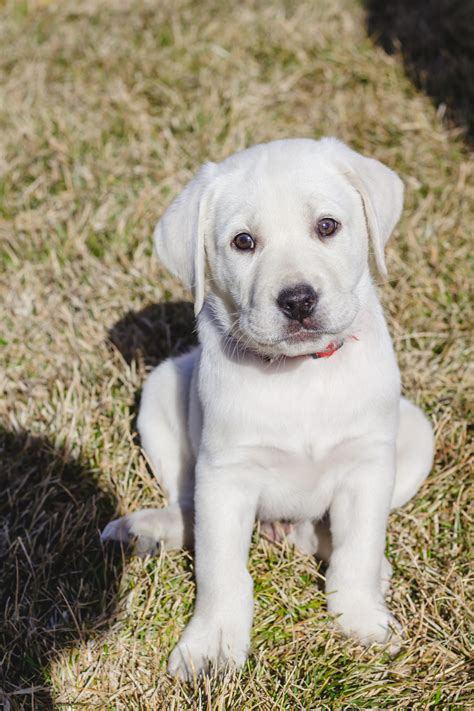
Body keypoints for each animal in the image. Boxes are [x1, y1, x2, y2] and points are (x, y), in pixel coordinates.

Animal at [103, 138, 434, 680]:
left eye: (327, 226)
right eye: (243, 242)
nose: (298, 300)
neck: (299, 375)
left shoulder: (366, 466)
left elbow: (359, 550)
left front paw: (361, 619)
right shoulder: (225, 476)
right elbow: (220, 569)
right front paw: (212, 646)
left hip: (416, 434)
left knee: (327, 535)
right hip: (159, 392)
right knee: (187, 507)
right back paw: (143, 531)